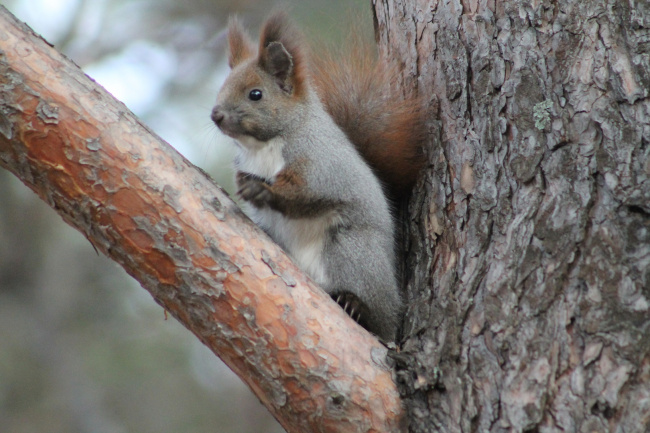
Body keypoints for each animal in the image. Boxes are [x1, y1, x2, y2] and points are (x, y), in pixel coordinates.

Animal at [210, 11, 426, 340]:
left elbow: (307, 195)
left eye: (255, 94)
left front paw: (263, 190)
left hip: (351, 253)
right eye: (222, 87)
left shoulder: (321, 165)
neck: (264, 145)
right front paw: (245, 186)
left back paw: (356, 305)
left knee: (382, 319)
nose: (216, 115)